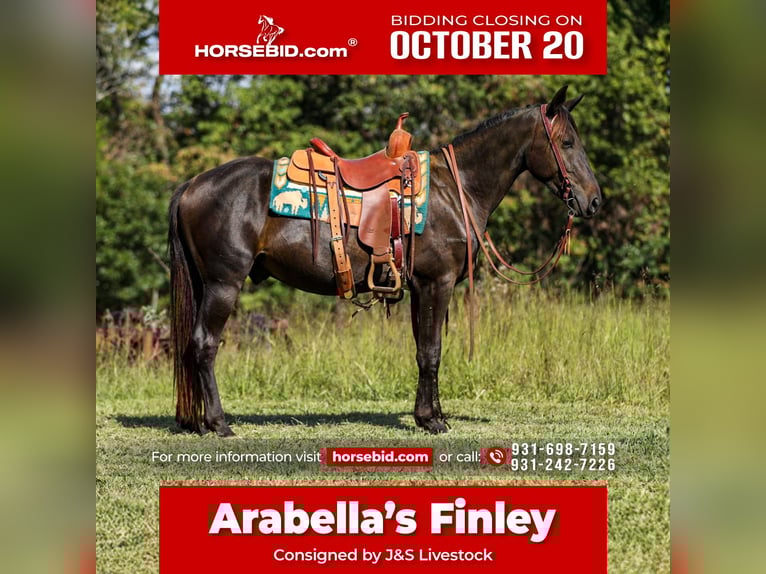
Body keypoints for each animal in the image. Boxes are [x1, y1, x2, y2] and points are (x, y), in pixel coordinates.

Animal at [167, 85, 603, 436]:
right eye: (567, 143)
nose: (594, 200)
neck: (456, 189)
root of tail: (192, 184)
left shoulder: (420, 287)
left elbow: (424, 349)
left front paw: (428, 415)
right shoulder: (437, 282)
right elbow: (432, 351)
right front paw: (433, 421)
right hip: (224, 284)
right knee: (205, 344)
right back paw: (219, 423)